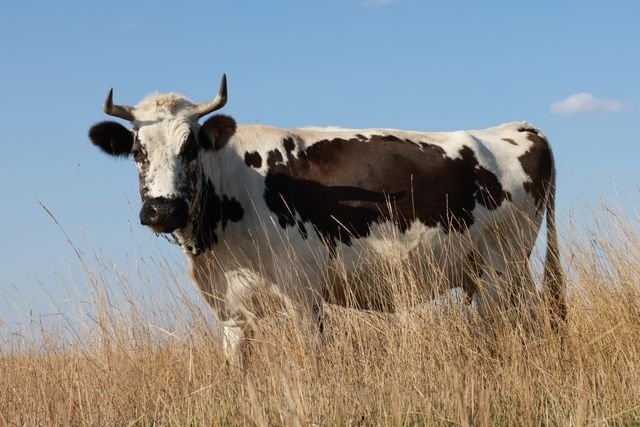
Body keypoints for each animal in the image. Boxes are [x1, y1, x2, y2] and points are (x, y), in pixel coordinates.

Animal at [88, 74, 565, 361]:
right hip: (479, 276)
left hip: (504, 268)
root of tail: (517, 128)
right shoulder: (230, 308)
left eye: (190, 147)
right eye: (137, 151)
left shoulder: (303, 292)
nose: (163, 209)